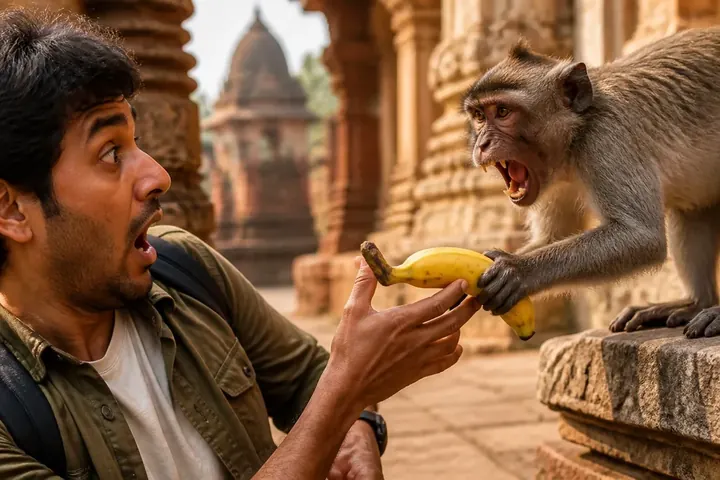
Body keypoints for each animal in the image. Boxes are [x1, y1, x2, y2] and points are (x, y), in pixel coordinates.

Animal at [461, 27, 720, 339]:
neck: (577, 130)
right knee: (692, 209)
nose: (481, 144)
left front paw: (517, 270)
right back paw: (696, 303)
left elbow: (641, 236)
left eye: (502, 112)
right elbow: (553, 236)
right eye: (478, 116)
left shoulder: (607, 138)